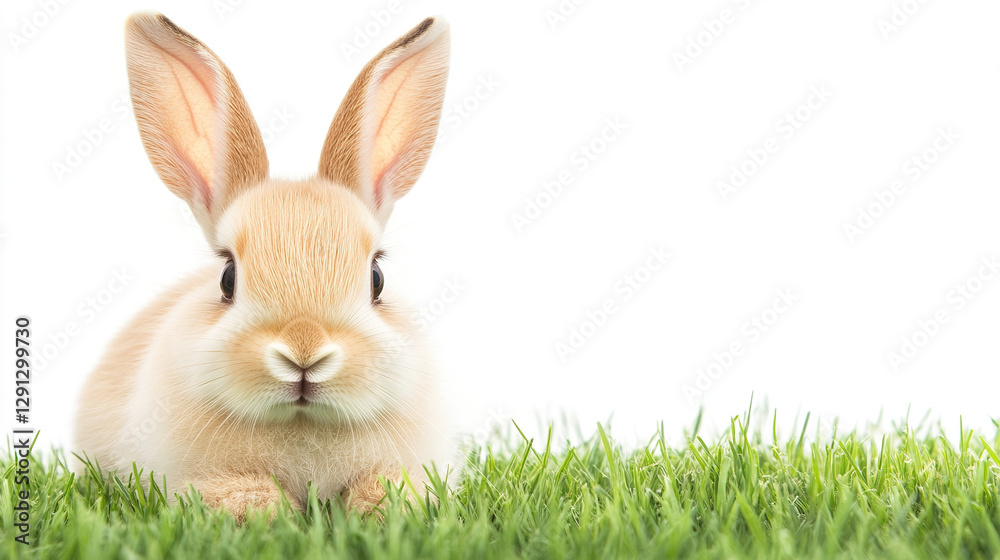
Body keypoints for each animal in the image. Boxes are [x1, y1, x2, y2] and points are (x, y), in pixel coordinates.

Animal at [73, 12, 453, 521]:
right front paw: (270, 513)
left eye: (377, 279)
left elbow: (385, 489)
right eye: (227, 277)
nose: (304, 352)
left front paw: (378, 510)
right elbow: (245, 496)